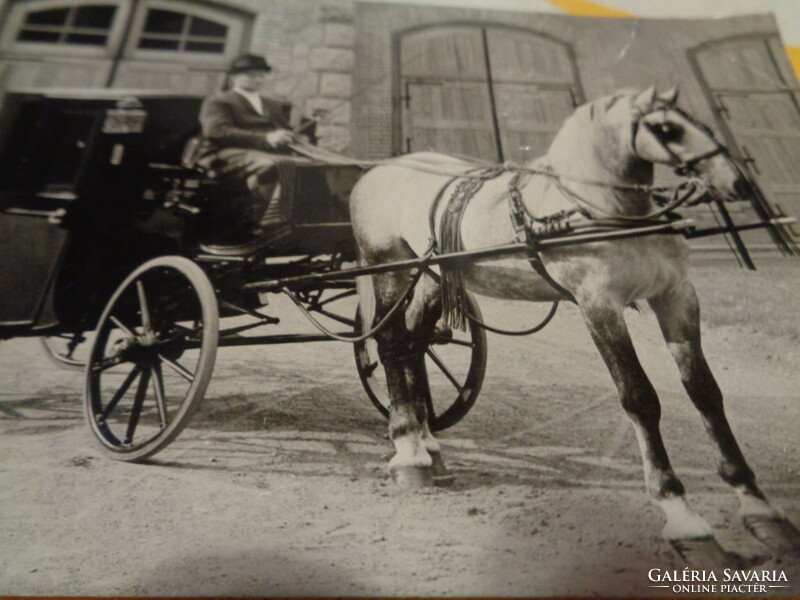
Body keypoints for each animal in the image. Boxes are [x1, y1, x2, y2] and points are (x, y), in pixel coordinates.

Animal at [354, 86, 800, 564]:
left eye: (697, 120)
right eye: (667, 128)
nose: (739, 183)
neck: (599, 211)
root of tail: (376, 171)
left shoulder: (677, 297)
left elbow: (705, 391)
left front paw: (758, 506)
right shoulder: (598, 305)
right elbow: (639, 398)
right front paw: (679, 512)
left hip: (432, 277)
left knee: (414, 342)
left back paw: (425, 439)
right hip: (390, 268)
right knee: (391, 343)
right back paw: (408, 449)